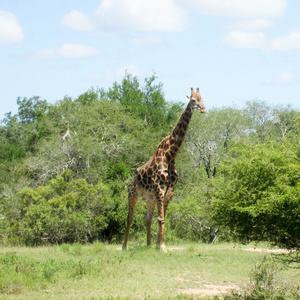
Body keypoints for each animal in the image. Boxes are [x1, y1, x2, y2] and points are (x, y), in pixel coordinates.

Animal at [122, 87, 206, 251]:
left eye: (202, 99)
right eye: (193, 100)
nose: (203, 109)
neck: (171, 155)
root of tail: (133, 178)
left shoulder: (169, 190)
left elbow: (163, 218)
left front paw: (159, 245)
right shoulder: (160, 188)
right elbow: (161, 218)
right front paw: (162, 247)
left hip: (150, 197)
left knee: (147, 218)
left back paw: (148, 245)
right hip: (133, 193)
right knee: (129, 217)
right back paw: (124, 246)